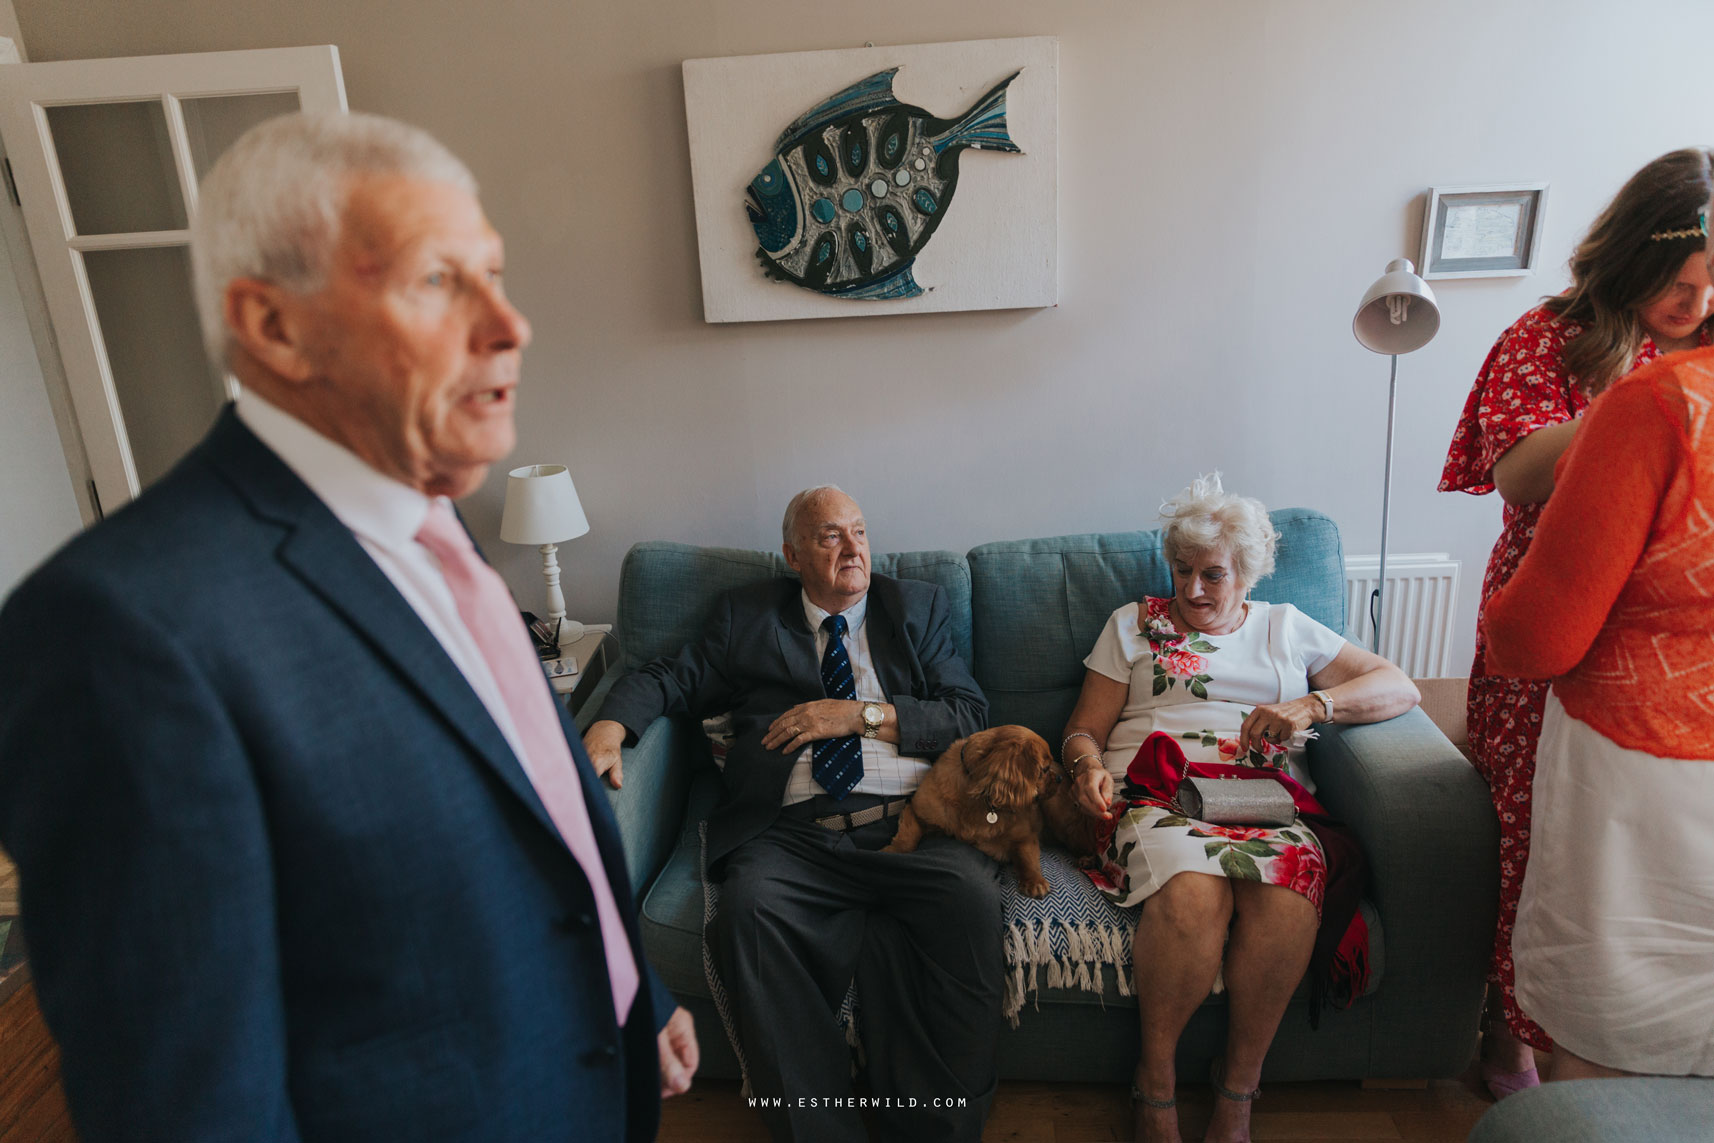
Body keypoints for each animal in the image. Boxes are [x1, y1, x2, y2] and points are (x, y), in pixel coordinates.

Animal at [891, 730, 1062, 897]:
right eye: (1045, 769)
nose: (1060, 778)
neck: (981, 799)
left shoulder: (1026, 836)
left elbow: (1028, 857)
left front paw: (1035, 881)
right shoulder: (916, 811)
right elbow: (907, 836)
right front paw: (894, 851)